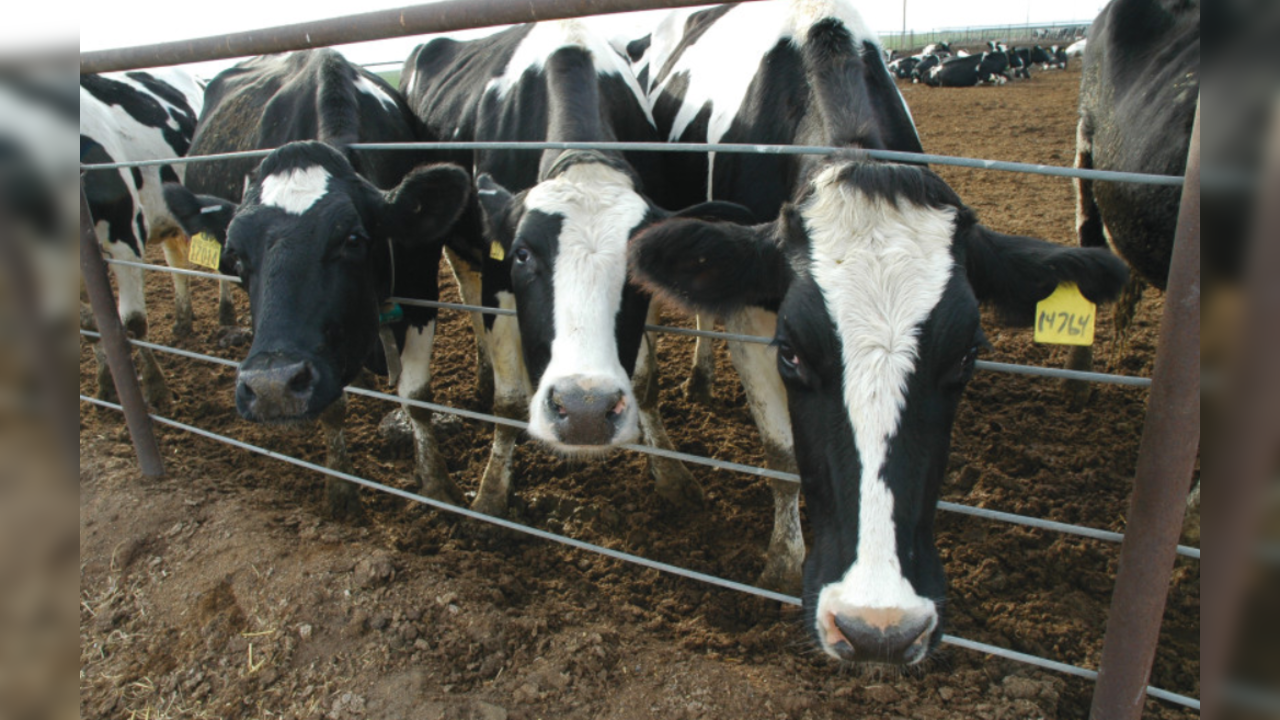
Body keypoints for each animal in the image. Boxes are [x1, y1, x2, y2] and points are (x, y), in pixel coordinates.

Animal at [79, 70, 204, 412]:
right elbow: (92, 328)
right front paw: (106, 387)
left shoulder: (126, 233)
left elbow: (133, 322)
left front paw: (155, 388)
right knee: (177, 261)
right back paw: (183, 319)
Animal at [162, 50, 473, 515]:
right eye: (235, 255)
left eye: (353, 239)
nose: (271, 387)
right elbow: (332, 407)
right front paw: (341, 489)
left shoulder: (420, 287)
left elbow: (417, 396)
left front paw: (438, 486)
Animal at [394, 20, 747, 515]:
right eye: (523, 254)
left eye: (634, 264)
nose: (584, 411)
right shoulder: (499, 278)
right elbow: (509, 401)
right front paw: (492, 494)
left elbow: (645, 382)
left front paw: (672, 475)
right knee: (466, 291)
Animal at [632, 155, 1131, 661]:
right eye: (791, 352)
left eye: (967, 354)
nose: (877, 629)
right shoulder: (750, 322)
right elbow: (781, 456)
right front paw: (782, 565)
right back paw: (672, 469)